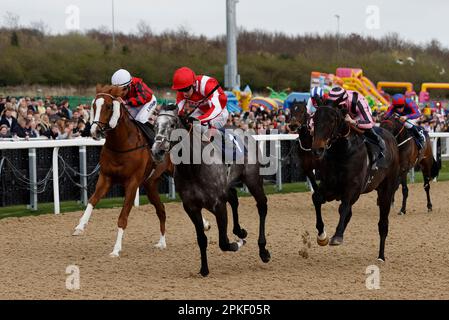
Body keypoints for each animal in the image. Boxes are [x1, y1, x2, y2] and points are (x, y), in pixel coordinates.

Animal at [72, 84, 172, 256]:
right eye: (93, 105)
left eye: (108, 106)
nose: (94, 131)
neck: (122, 144)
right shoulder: (106, 178)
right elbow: (92, 200)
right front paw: (80, 226)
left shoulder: (132, 183)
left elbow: (123, 217)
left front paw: (116, 249)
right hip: (151, 185)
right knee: (161, 210)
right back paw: (161, 243)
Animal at [310, 106, 398, 262]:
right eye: (314, 119)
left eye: (332, 121)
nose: (317, 150)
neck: (341, 151)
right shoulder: (330, 186)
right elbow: (317, 199)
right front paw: (322, 236)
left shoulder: (352, 188)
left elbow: (344, 207)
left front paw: (337, 236)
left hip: (386, 190)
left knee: (383, 223)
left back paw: (381, 256)